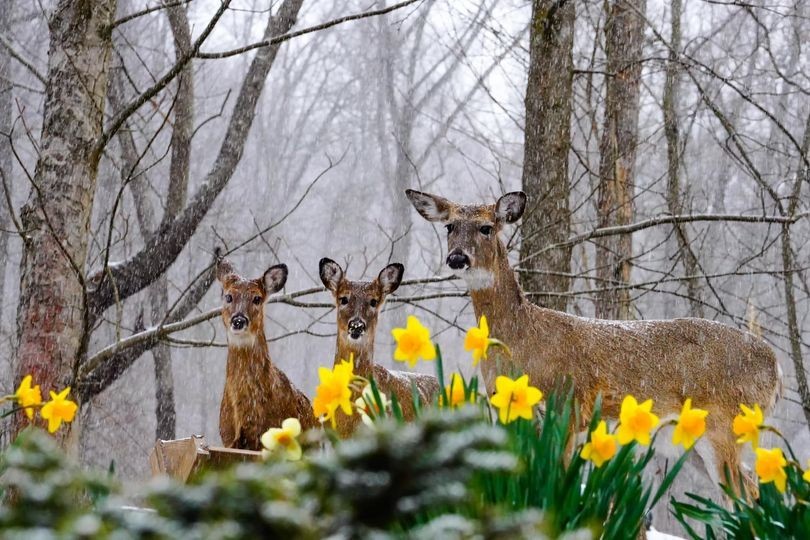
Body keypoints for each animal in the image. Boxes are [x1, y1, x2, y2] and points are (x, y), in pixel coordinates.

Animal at [406, 188, 781, 490]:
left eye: (487, 227)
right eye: (449, 226)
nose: (457, 258)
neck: (521, 339)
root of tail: (777, 367)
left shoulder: (568, 405)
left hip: (727, 424)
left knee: (748, 494)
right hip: (686, 440)